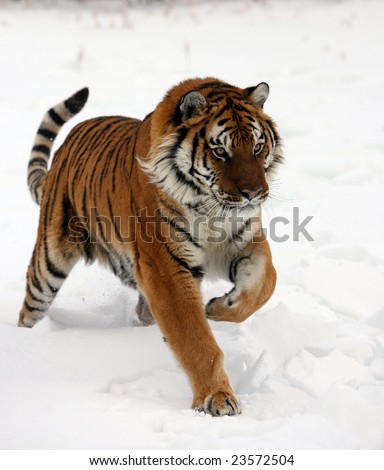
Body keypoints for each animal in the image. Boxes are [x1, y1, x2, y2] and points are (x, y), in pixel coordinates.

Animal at [18, 79, 282, 416]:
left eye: (257, 147)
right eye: (221, 151)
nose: (254, 193)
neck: (212, 210)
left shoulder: (245, 239)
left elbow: (265, 282)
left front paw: (219, 307)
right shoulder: (164, 264)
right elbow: (195, 338)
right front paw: (216, 397)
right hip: (49, 262)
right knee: (31, 307)